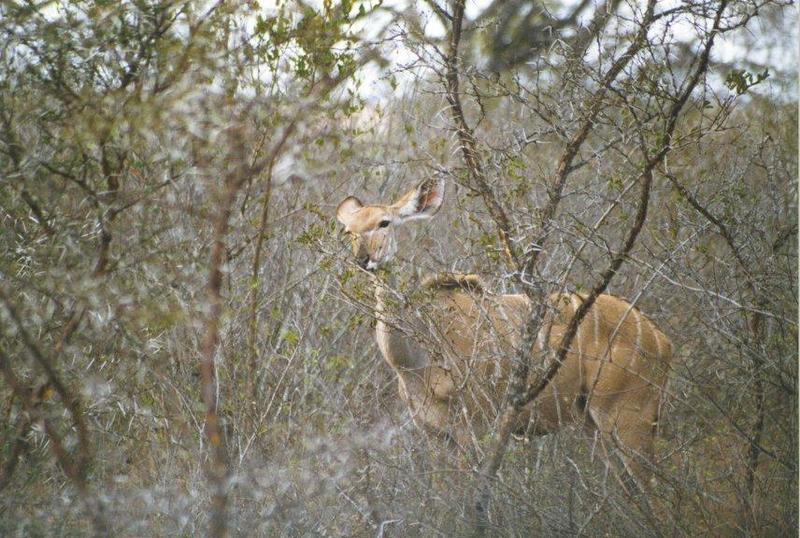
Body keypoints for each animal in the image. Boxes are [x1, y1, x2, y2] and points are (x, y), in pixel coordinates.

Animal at [334, 176, 672, 482]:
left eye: (384, 223)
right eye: (349, 231)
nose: (363, 259)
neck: (415, 361)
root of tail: (662, 340)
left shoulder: (473, 428)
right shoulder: (434, 435)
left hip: (627, 418)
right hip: (592, 423)